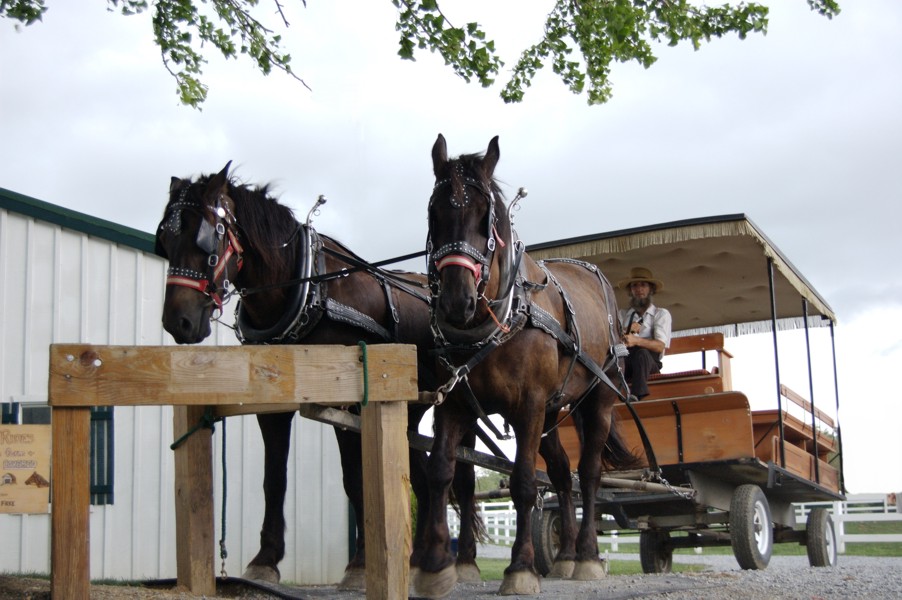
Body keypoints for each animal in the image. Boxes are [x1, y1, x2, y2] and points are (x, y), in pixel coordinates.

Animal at [154, 164, 488, 592]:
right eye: (164, 239)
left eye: (206, 237)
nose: (177, 321)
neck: (308, 287)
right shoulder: (275, 405)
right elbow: (274, 479)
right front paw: (265, 560)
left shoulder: (351, 401)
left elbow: (355, 480)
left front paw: (359, 566)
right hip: (410, 410)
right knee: (420, 474)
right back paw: (421, 560)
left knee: (463, 478)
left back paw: (464, 561)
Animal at [416, 136, 644, 596]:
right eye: (435, 213)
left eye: (486, 218)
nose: (456, 301)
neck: (496, 321)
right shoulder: (455, 404)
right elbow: (442, 472)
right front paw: (435, 565)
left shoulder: (529, 405)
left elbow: (523, 482)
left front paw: (520, 567)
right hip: (552, 412)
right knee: (560, 473)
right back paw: (567, 555)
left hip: (598, 398)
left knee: (587, 474)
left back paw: (587, 555)